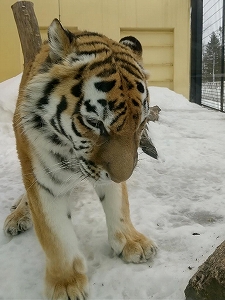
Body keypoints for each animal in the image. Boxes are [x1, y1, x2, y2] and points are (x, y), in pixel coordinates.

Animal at [4, 19, 157, 300]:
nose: (124, 175)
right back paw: (18, 215)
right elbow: (55, 234)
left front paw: (132, 242)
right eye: (95, 123)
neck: (70, 150)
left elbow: (119, 205)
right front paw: (66, 284)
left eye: (141, 122)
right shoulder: (44, 180)